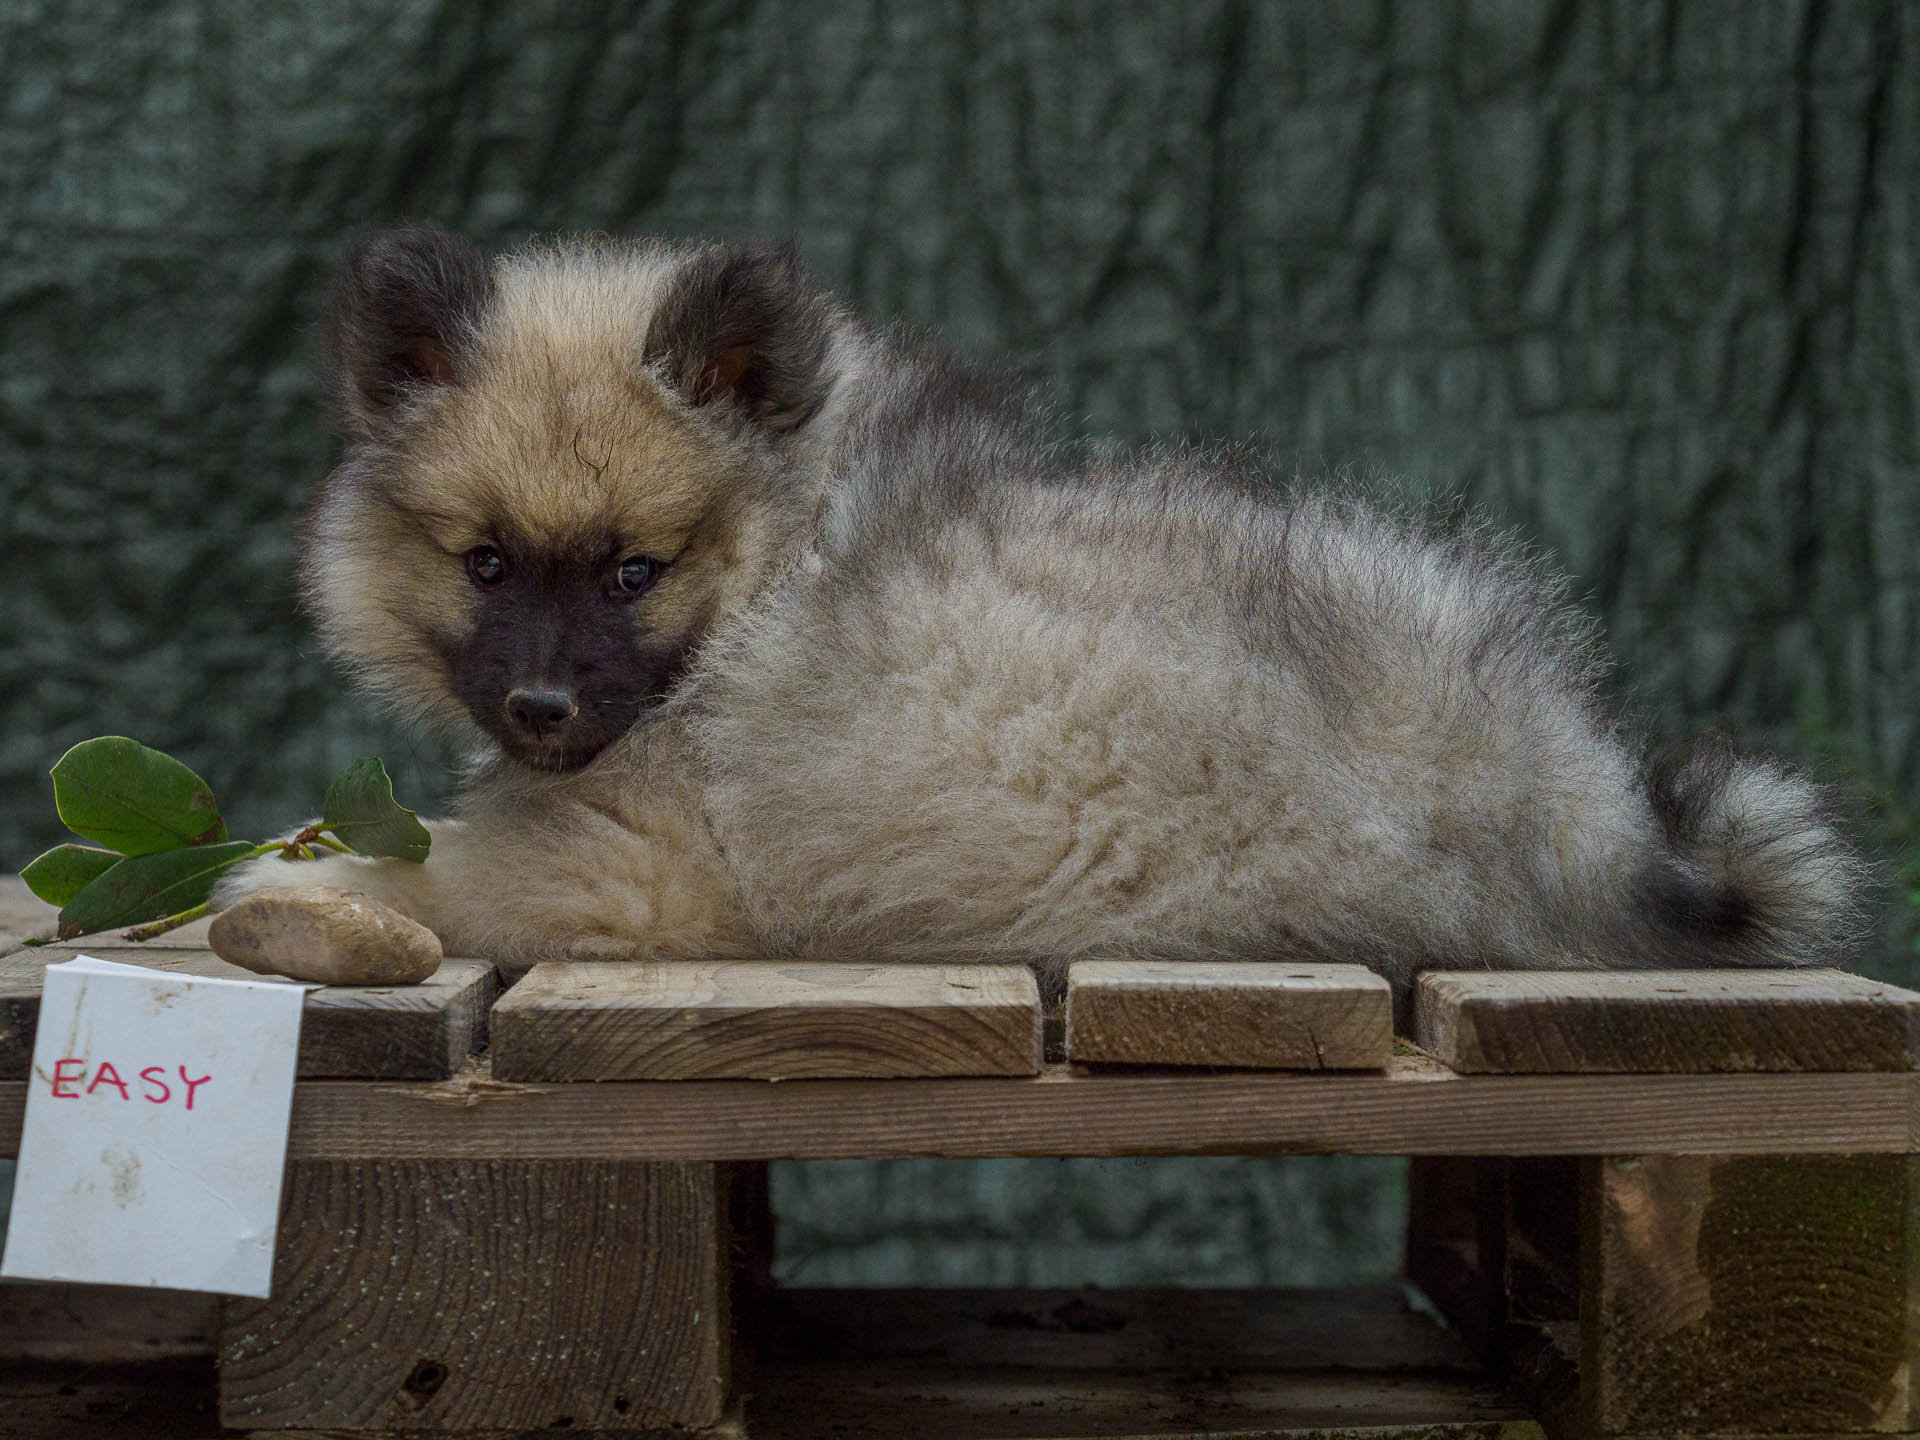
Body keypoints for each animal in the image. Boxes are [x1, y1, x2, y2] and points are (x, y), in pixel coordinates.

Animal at [217, 225, 1866, 998]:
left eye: (635, 572)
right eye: (486, 563)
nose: (541, 707)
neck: (772, 562)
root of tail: (1586, 814)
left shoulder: (640, 870)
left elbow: (443, 864)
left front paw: (295, 884)